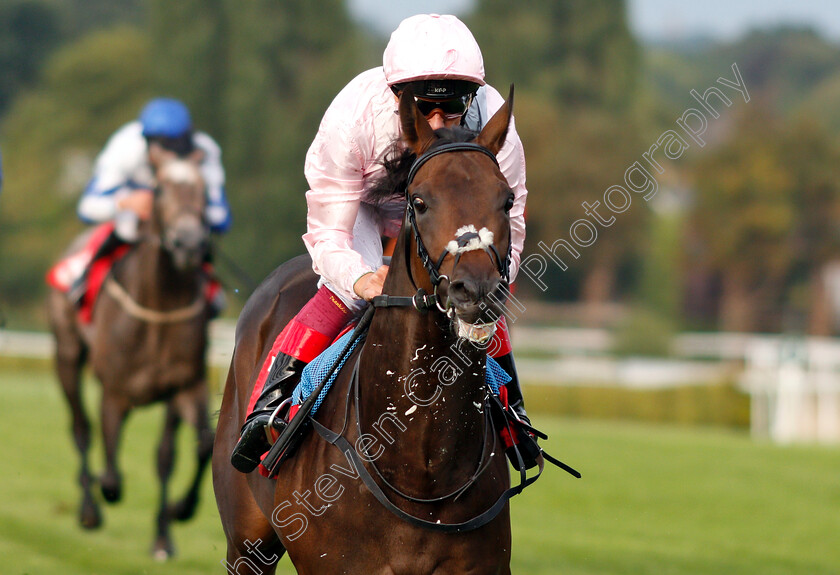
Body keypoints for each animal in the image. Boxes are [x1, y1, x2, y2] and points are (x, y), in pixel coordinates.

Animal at [47, 153, 215, 560]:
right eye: (159, 189)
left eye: (205, 190)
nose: (189, 243)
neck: (159, 306)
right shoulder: (115, 391)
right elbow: (111, 474)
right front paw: (102, 492)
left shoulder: (185, 385)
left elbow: (194, 447)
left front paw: (175, 518)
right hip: (66, 353)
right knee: (81, 428)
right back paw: (89, 508)